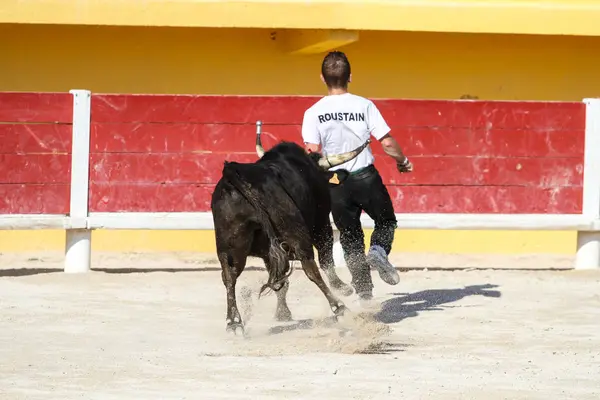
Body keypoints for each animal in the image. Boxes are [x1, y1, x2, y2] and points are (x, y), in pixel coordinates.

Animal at [211, 131, 370, 334]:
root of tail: (235, 174)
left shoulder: (268, 250)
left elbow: (278, 278)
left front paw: (282, 312)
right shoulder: (322, 223)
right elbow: (326, 259)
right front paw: (342, 287)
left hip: (229, 242)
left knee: (229, 276)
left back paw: (234, 323)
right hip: (296, 232)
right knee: (311, 268)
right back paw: (340, 308)